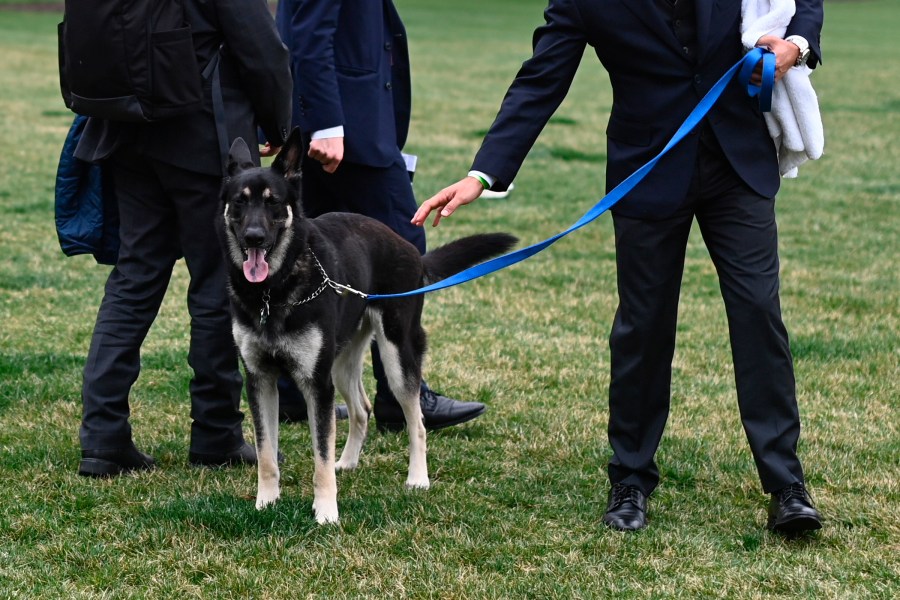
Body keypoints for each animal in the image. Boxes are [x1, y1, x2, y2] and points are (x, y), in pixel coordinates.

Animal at [216, 130, 520, 520]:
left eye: (273, 203)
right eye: (239, 202)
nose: (253, 237)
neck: (274, 291)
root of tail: (411, 250)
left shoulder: (317, 384)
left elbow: (320, 456)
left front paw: (326, 513)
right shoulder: (260, 379)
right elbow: (267, 453)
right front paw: (265, 502)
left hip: (396, 355)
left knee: (416, 422)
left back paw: (417, 479)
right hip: (342, 361)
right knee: (362, 409)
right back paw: (348, 463)